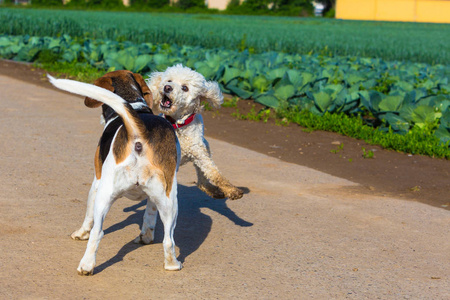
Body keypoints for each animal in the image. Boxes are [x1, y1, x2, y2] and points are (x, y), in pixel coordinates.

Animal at [48, 69, 182, 274]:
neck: (134, 103)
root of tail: (141, 134)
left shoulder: (96, 183)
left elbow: (88, 218)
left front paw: (80, 233)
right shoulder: (155, 198)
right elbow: (149, 216)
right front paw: (145, 237)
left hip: (104, 193)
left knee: (97, 232)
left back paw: (86, 266)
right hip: (169, 200)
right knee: (169, 239)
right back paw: (172, 264)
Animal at [146, 64, 243, 200]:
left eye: (185, 88)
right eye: (169, 80)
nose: (167, 87)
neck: (178, 126)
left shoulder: (199, 153)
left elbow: (214, 173)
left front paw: (231, 190)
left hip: (205, 148)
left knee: (202, 180)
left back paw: (212, 189)